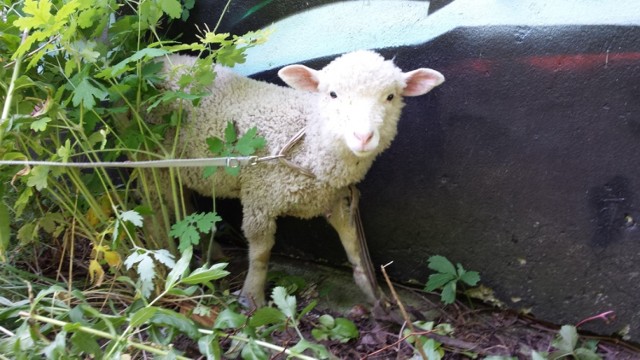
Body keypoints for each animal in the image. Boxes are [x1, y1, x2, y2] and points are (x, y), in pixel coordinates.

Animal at [155, 50, 444, 306]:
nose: (363, 137)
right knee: (168, 206)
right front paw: (252, 299)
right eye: (332, 94)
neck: (306, 140)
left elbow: (353, 245)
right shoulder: (260, 196)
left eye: (390, 96)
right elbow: (260, 253)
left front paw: (374, 294)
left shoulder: (336, 199)